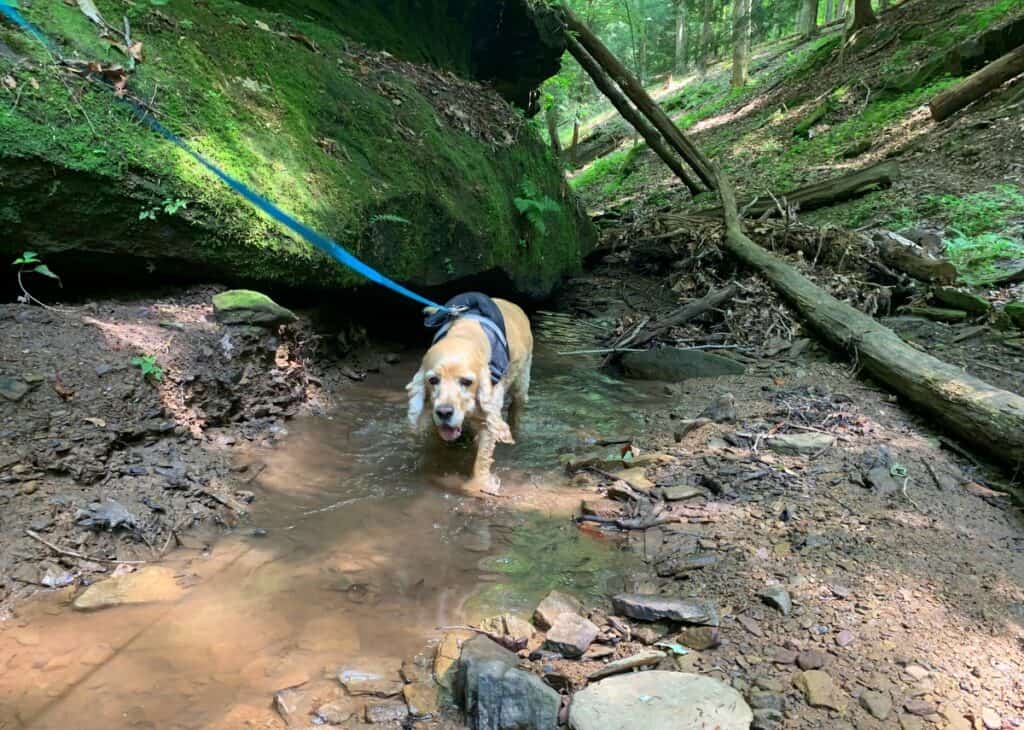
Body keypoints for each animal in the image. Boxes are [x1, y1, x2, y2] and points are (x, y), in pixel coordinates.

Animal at [405, 292, 536, 493]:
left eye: (467, 382)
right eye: (433, 380)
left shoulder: (489, 411)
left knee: (516, 409)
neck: (465, 335)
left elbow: (482, 456)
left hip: (521, 383)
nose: (444, 412)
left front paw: (479, 485)